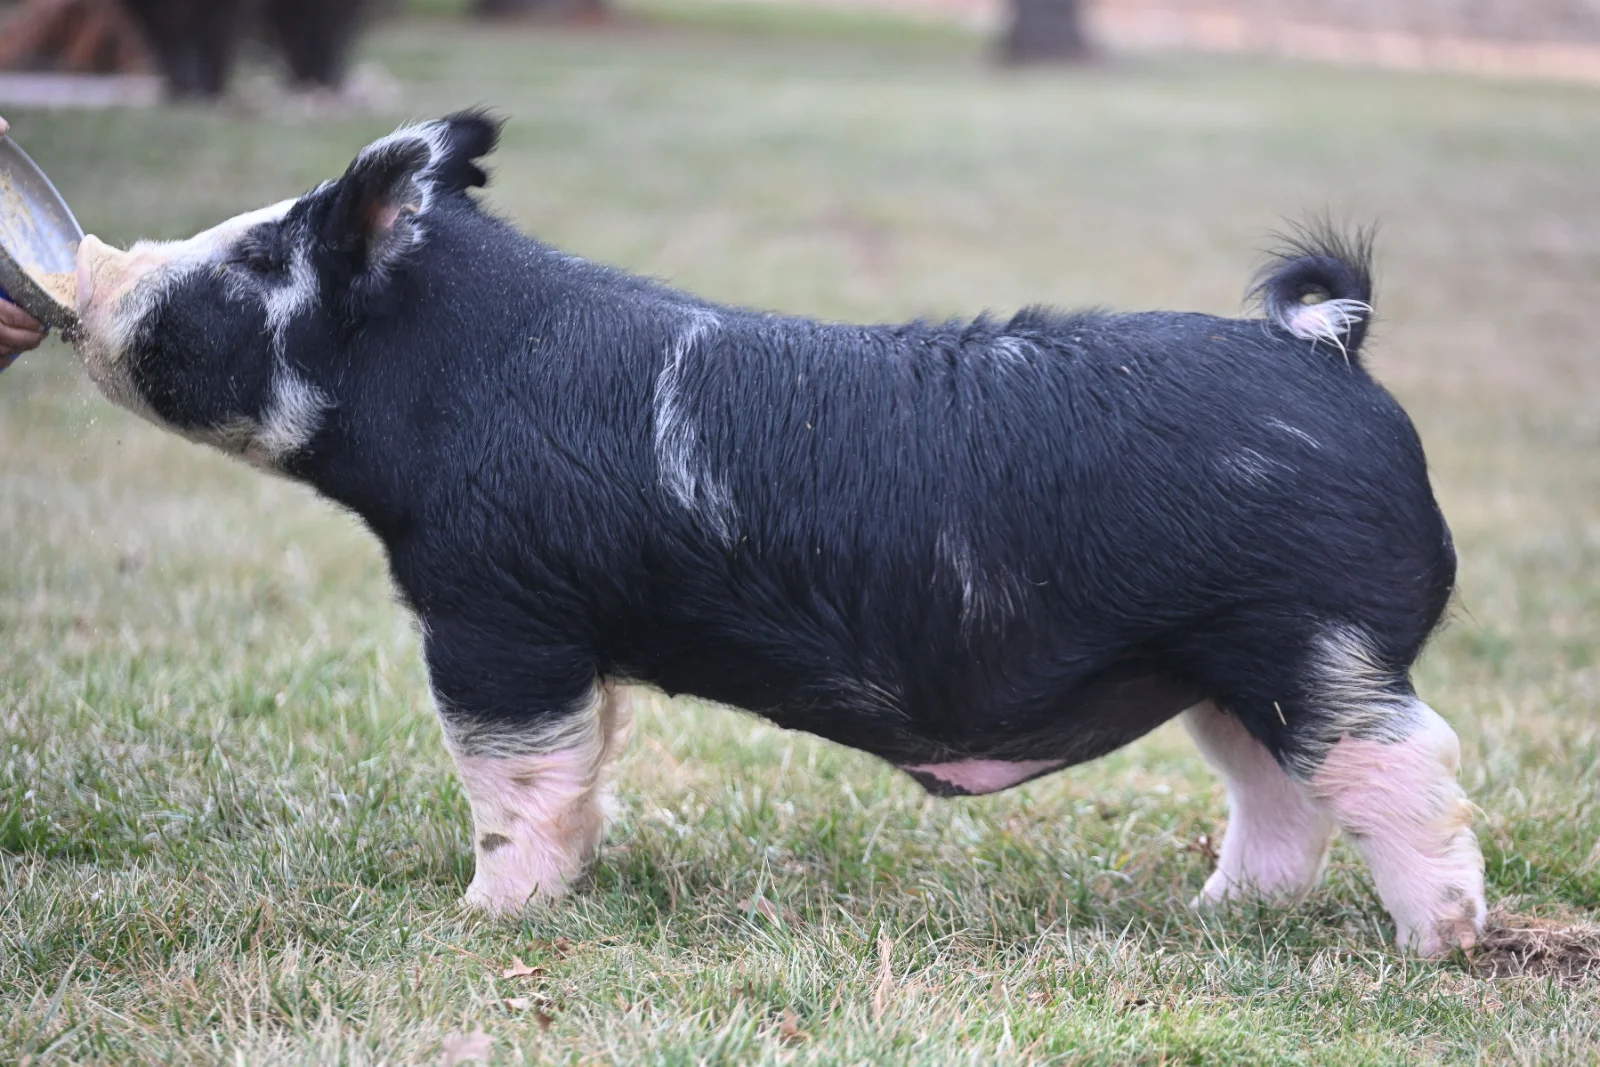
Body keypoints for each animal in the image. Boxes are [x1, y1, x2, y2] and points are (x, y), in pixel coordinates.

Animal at [68, 112, 1485, 956]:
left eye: (255, 262)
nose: (101, 282)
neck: (459, 380)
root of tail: (1325, 347)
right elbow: (584, 765)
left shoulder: (497, 608)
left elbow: (512, 773)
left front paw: (483, 916)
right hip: (1217, 663)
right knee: (1277, 789)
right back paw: (1220, 908)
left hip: (1307, 632)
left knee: (1403, 761)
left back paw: (1441, 942)